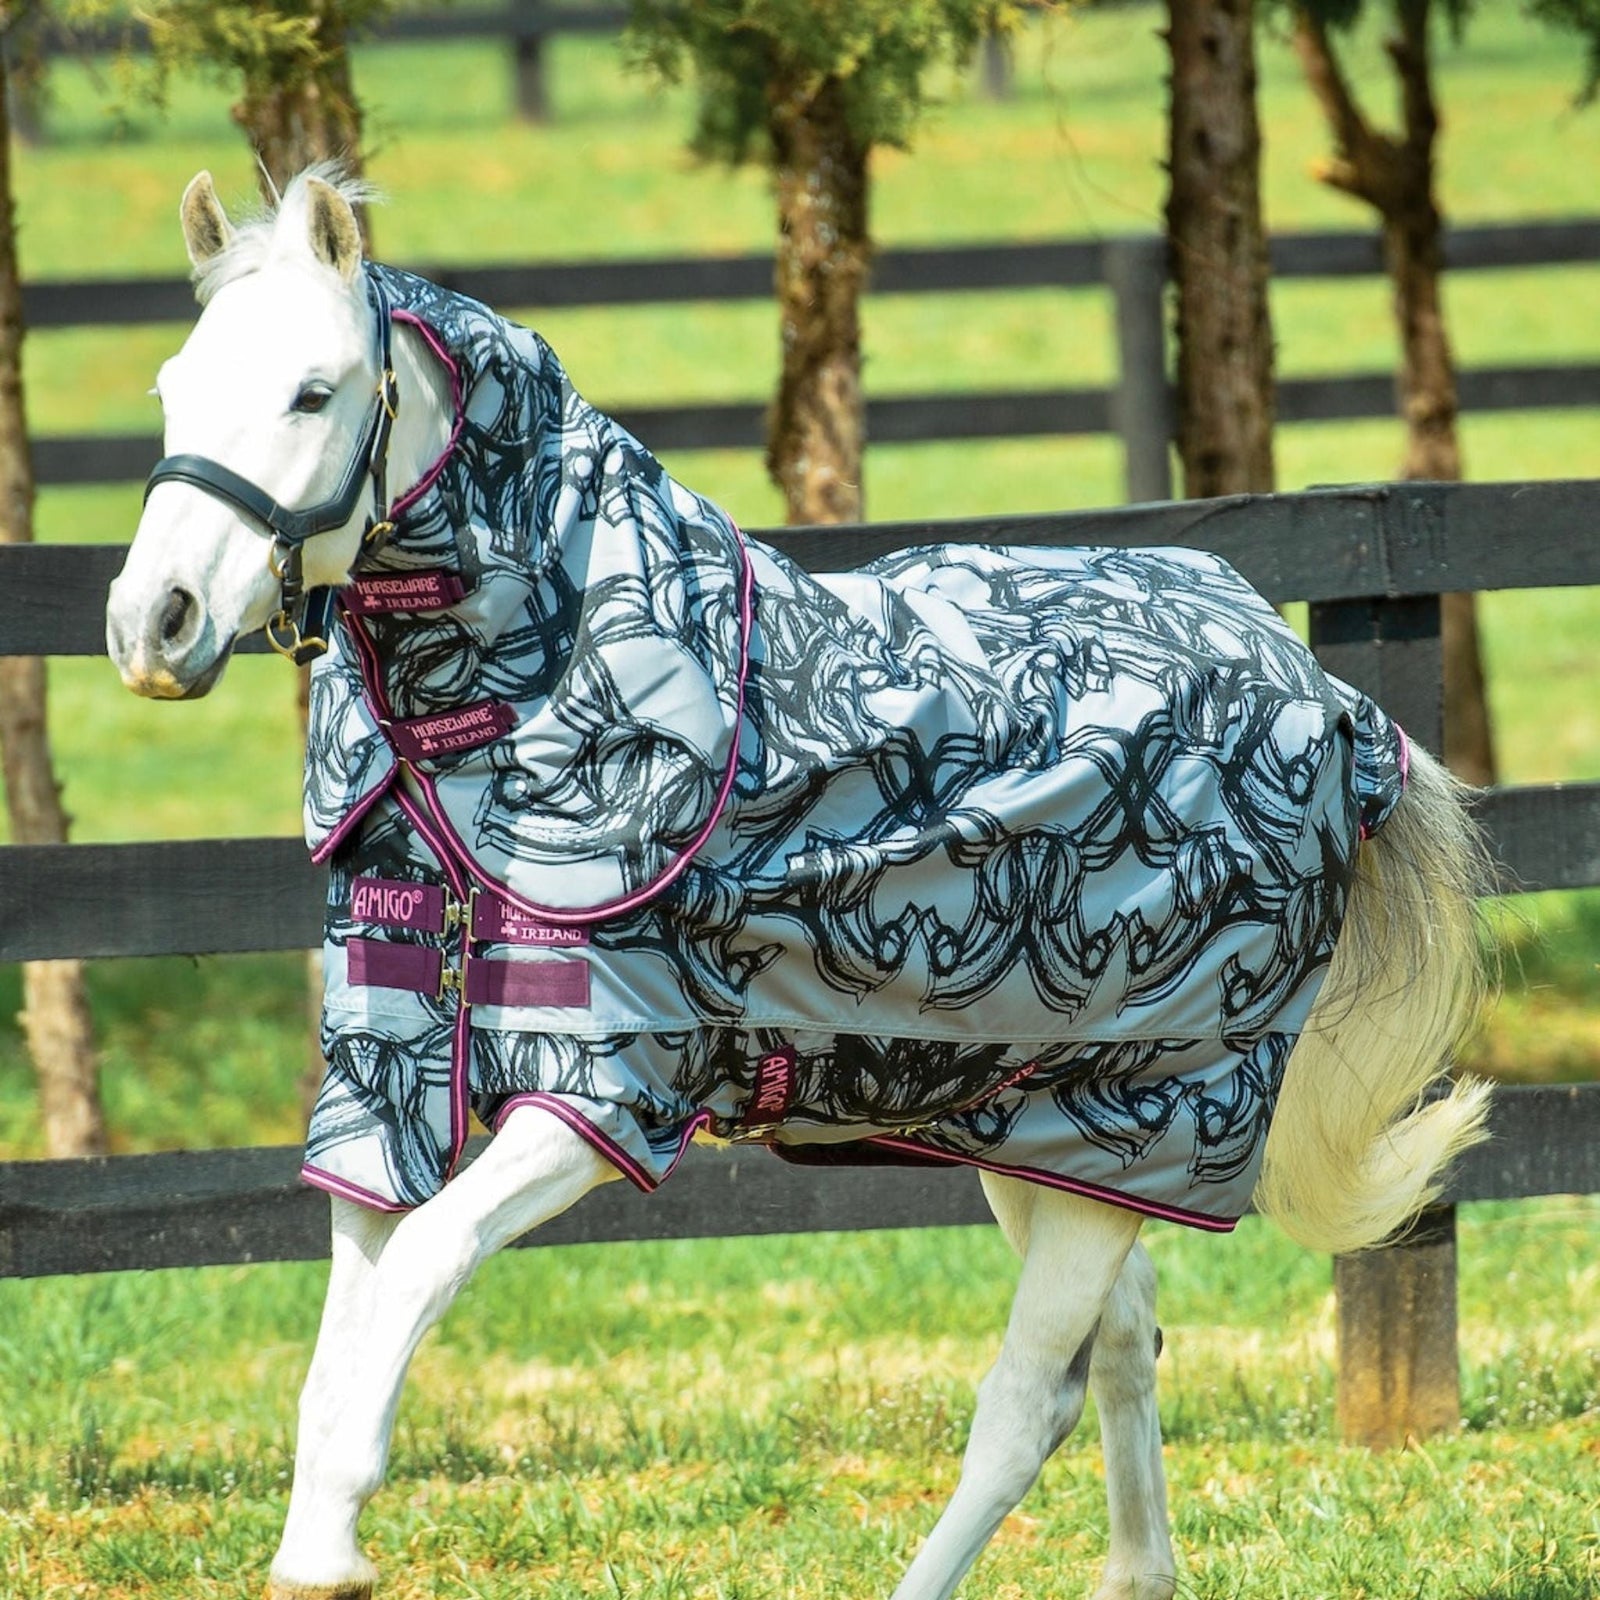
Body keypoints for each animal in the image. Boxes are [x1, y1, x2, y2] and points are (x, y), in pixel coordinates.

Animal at [106, 166, 1491, 1600]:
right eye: (172, 386)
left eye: (311, 393)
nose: (153, 623)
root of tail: (1326, 698)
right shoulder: (380, 1071)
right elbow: (349, 1315)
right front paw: (317, 1542)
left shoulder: (599, 1087)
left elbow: (421, 1267)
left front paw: (333, 1535)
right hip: (1045, 1137)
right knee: (1113, 1349)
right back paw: (1134, 1572)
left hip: (1158, 1117)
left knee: (1020, 1405)